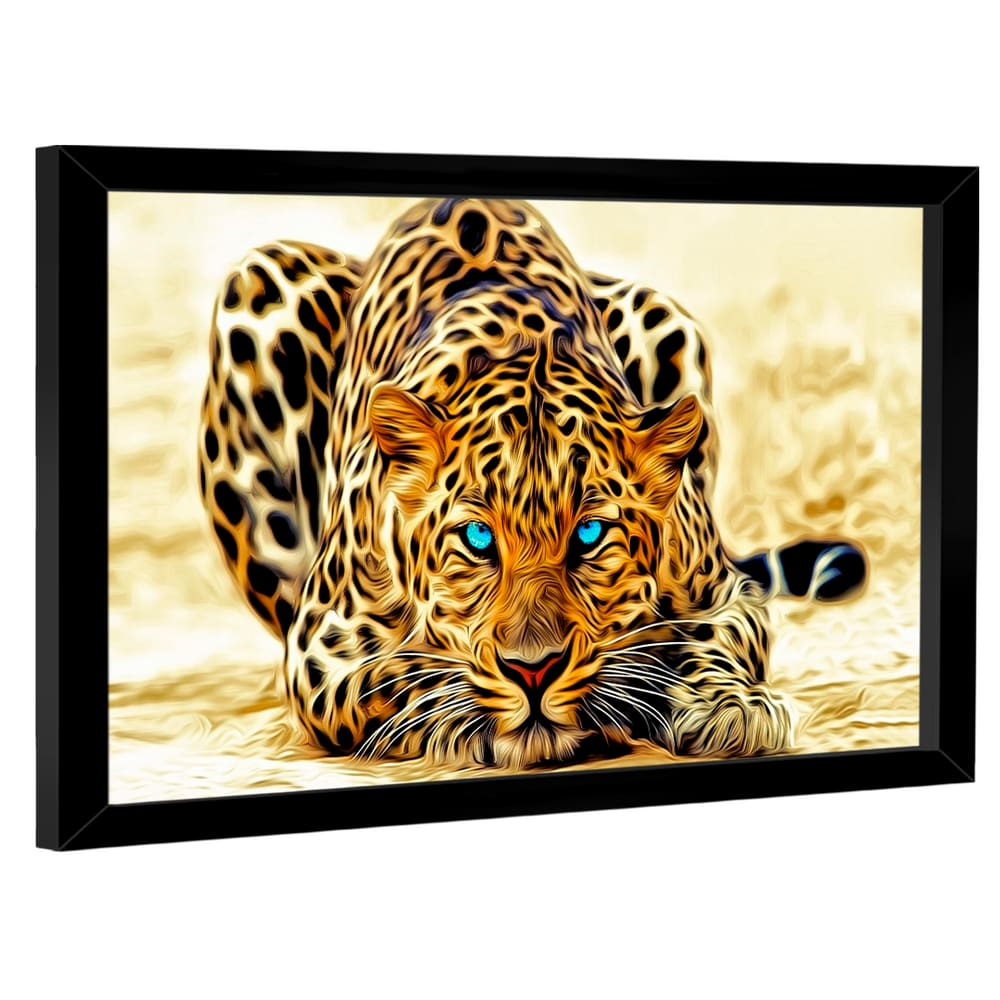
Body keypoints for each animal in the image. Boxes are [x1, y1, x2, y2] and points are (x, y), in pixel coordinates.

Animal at [197, 197, 867, 771]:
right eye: (478, 540)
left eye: (590, 536)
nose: (534, 670)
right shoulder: (322, 646)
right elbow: (398, 677)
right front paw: (466, 717)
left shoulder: (724, 592)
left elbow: (717, 640)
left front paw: (732, 706)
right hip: (256, 285)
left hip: (662, 313)